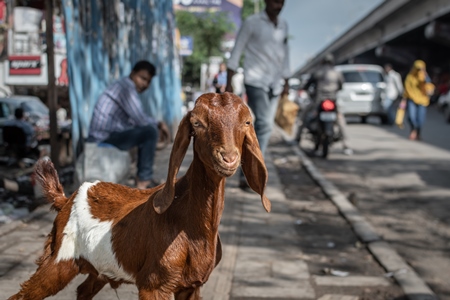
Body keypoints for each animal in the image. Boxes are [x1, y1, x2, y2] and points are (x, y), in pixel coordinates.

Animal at [8, 92, 270, 298]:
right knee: (23, 295)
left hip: (97, 268)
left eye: (247, 122)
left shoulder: (191, 286)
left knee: (83, 290)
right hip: (59, 259)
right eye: (197, 123)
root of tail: (65, 200)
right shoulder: (154, 285)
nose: (228, 158)